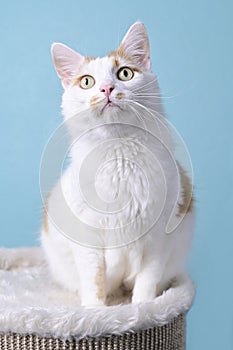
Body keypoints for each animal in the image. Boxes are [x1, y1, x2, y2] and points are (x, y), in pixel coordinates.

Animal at [41, 21, 194, 306]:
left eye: (124, 73)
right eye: (86, 81)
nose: (107, 89)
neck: (119, 154)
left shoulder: (159, 237)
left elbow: (147, 279)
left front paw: (143, 308)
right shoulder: (87, 241)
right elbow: (94, 280)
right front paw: (94, 310)